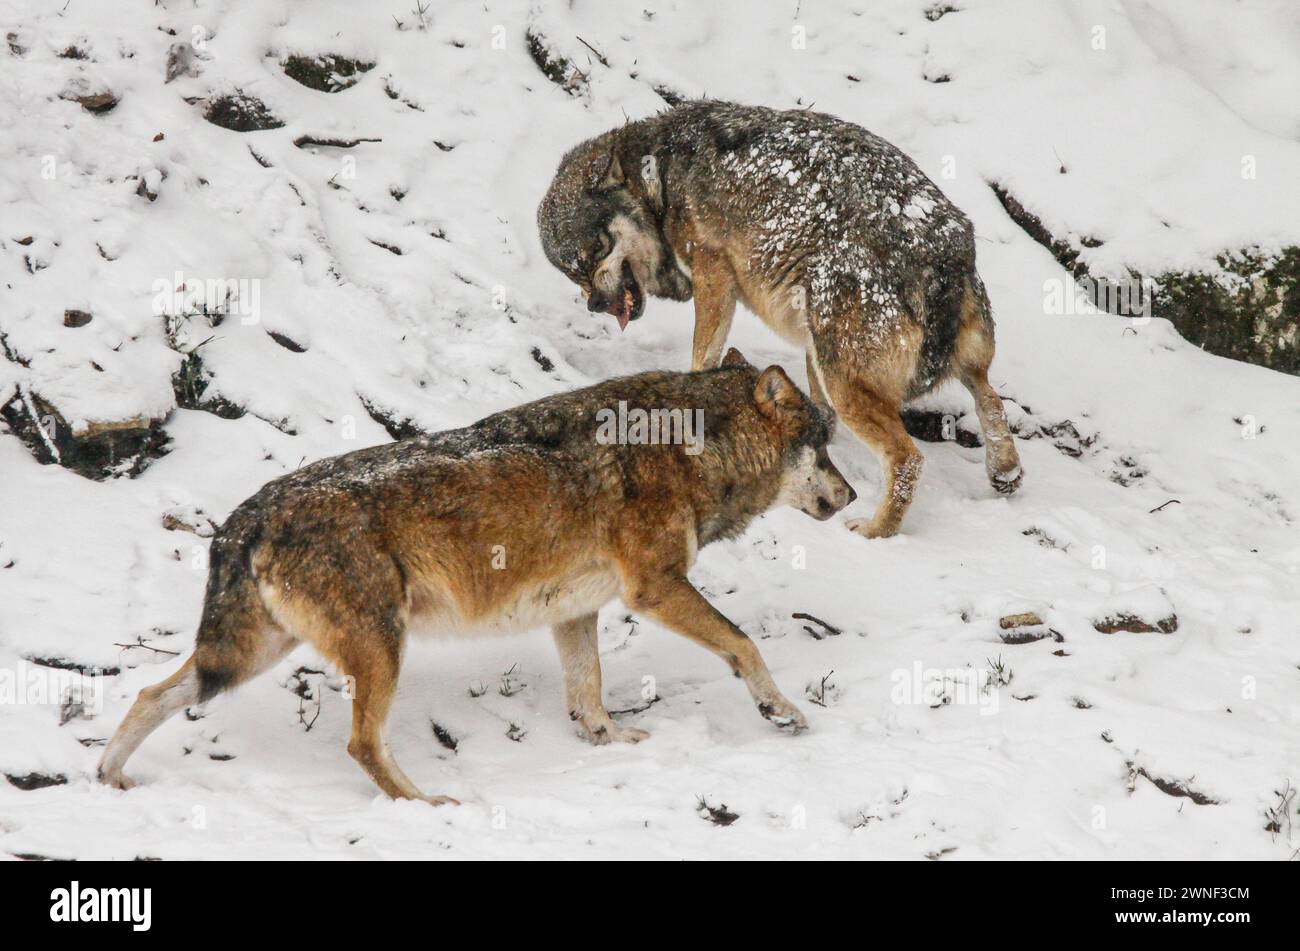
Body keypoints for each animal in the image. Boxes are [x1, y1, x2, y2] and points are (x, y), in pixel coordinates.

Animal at [98, 353, 852, 805]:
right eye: (824, 447)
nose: (848, 497)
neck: (693, 446)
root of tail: (246, 515)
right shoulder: (656, 588)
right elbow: (745, 644)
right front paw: (782, 712)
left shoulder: (574, 613)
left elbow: (588, 693)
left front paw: (610, 744)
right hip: (378, 649)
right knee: (361, 743)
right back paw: (424, 805)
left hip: (250, 656)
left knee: (148, 695)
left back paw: (109, 776)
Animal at [538, 101, 1024, 543]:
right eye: (574, 274)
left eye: (595, 251)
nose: (595, 305)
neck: (661, 175)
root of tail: (945, 255)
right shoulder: (805, 341)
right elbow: (815, 408)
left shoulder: (715, 275)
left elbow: (702, 355)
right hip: (903, 355)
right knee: (990, 399)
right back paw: (1005, 472)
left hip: (844, 375)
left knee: (909, 459)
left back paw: (876, 530)